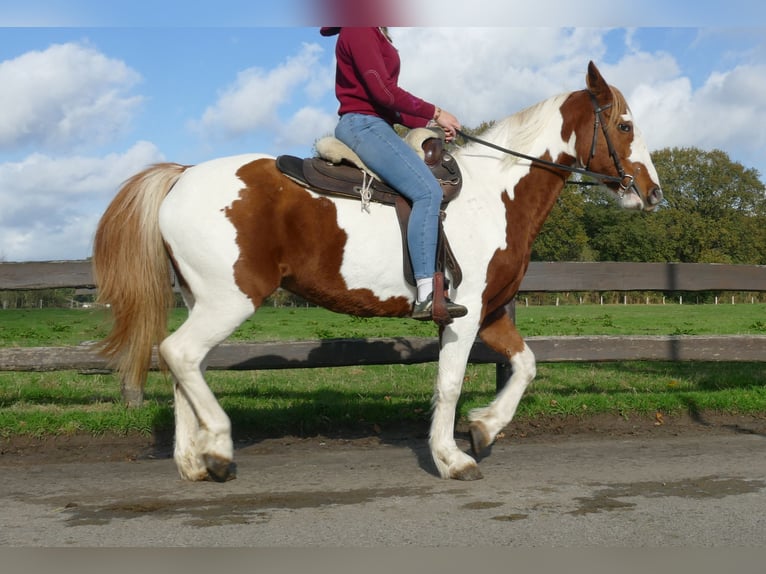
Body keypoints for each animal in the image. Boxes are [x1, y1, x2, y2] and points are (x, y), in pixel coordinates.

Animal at [93, 63, 664, 484]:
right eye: (625, 125)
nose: (653, 192)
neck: (497, 194)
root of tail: (182, 175)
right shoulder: (462, 317)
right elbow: (449, 384)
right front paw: (452, 457)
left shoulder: (493, 313)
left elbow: (525, 366)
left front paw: (484, 427)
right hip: (229, 300)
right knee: (179, 354)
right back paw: (218, 446)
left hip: (201, 301)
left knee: (182, 365)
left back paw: (193, 461)